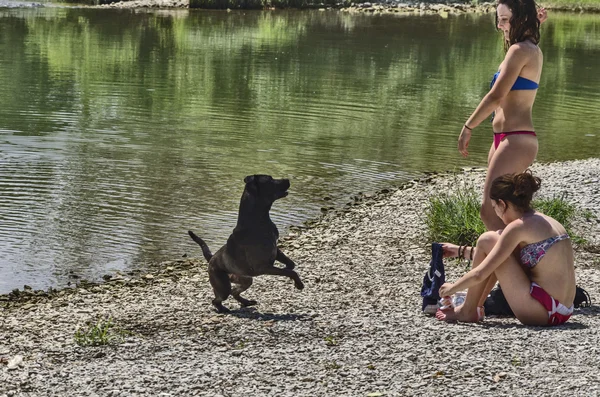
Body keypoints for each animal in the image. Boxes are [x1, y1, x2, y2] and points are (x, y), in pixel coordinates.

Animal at [189, 174, 304, 312]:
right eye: (269, 179)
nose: (287, 179)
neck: (259, 220)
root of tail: (211, 258)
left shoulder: (274, 249)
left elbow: (290, 264)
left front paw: (289, 268)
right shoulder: (262, 267)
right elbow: (291, 272)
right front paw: (298, 284)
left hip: (245, 279)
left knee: (234, 292)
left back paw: (246, 302)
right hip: (222, 284)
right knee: (218, 298)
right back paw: (223, 309)